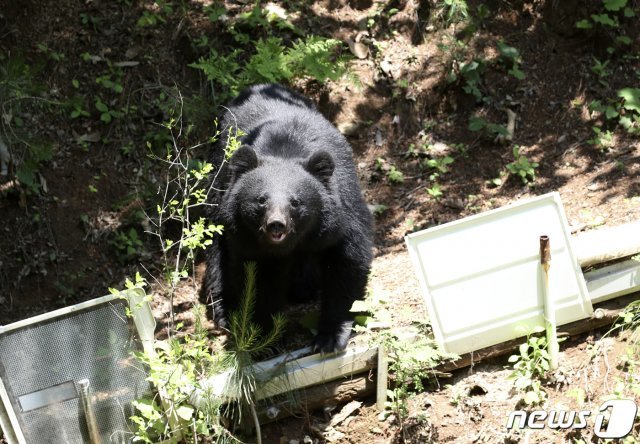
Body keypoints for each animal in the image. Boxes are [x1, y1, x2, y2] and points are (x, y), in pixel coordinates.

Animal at [204, 84, 376, 354]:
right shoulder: (247, 238)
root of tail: (257, 86)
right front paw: (265, 340)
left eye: (296, 202)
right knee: (216, 251)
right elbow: (257, 280)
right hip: (219, 183)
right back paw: (224, 311)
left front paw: (329, 337)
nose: (276, 224)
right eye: (261, 200)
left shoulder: (342, 213)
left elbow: (347, 262)